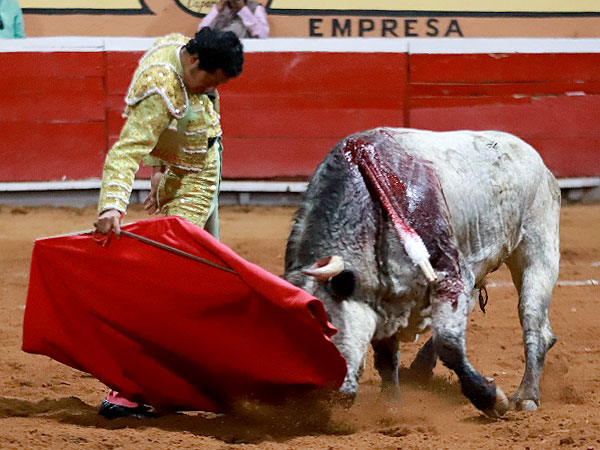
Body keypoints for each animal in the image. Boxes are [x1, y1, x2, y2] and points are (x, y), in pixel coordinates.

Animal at [284, 127, 560, 418]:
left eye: (329, 326)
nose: (323, 399)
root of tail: (534, 158)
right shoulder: (382, 297)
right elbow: (386, 356)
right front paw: (391, 402)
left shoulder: (450, 275)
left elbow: (448, 343)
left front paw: (491, 399)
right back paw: (419, 370)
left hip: (538, 252)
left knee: (535, 325)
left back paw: (526, 396)